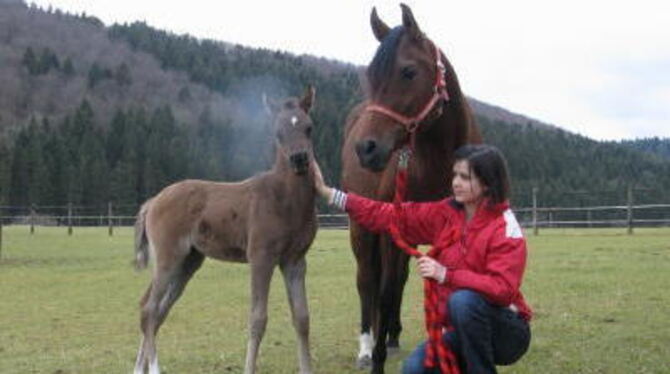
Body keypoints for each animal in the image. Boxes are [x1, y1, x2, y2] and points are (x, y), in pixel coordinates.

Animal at [135, 85, 320, 374]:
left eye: (308, 127)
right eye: (278, 133)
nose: (299, 159)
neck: (285, 200)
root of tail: (153, 201)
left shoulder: (295, 261)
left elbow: (302, 318)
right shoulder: (261, 257)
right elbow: (258, 319)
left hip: (188, 261)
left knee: (156, 309)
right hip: (168, 256)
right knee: (150, 309)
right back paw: (154, 367)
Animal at [342, 3, 484, 374]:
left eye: (408, 71)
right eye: (371, 76)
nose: (366, 148)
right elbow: (386, 290)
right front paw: (376, 359)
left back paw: (391, 336)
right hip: (362, 229)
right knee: (368, 281)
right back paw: (367, 346)